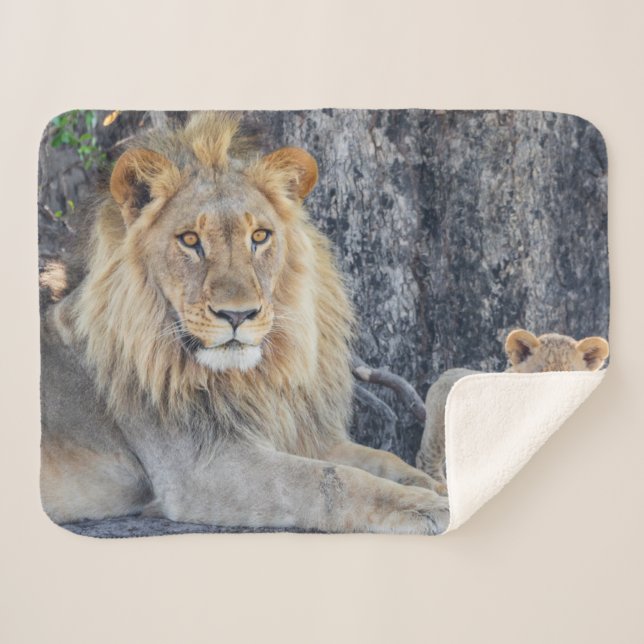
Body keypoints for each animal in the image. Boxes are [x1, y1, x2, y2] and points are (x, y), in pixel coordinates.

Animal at [40, 112, 448, 535]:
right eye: (190, 240)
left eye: (260, 236)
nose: (237, 315)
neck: (251, 379)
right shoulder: (203, 468)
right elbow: (329, 479)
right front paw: (421, 505)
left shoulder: (300, 435)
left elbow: (381, 459)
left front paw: (432, 485)